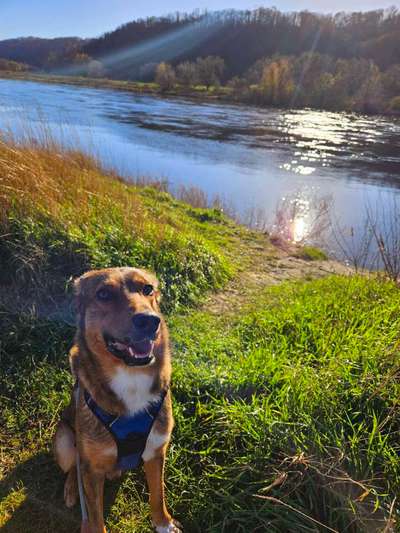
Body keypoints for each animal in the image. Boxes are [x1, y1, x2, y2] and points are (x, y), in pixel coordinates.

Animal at [53, 268, 181, 528]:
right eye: (103, 294)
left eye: (148, 289)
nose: (150, 321)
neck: (130, 378)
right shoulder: (91, 468)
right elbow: (94, 517)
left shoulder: (156, 451)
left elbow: (158, 495)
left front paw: (164, 524)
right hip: (64, 442)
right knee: (74, 467)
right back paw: (71, 489)